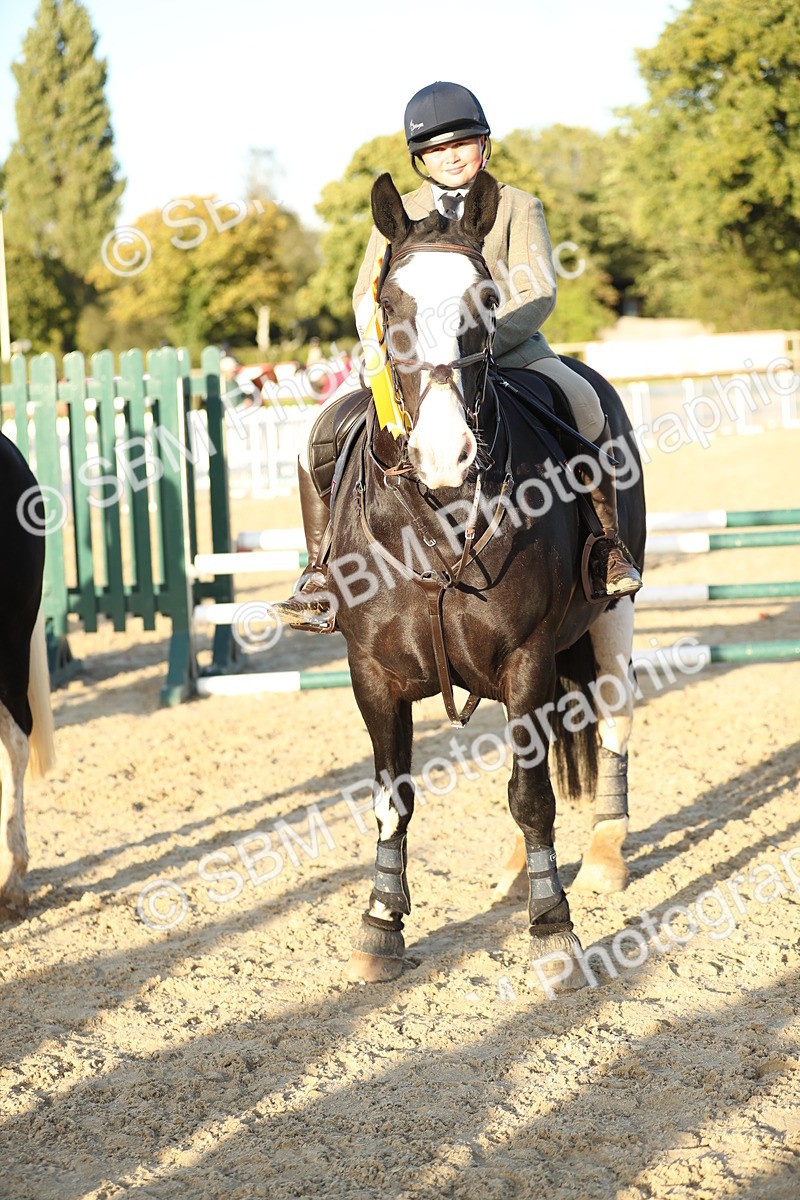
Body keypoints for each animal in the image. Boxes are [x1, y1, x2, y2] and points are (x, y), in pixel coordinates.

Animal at [328, 170, 646, 988]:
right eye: (388, 304)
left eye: (487, 301)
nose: (446, 454)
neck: (439, 512)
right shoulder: (371, 672)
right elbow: (394, 798)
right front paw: (380, 924)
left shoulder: (527, 655)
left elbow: (532, 796)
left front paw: (553, 930)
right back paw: (513, 872)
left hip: (611, 620)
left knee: (614, 719)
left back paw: (603, 855)